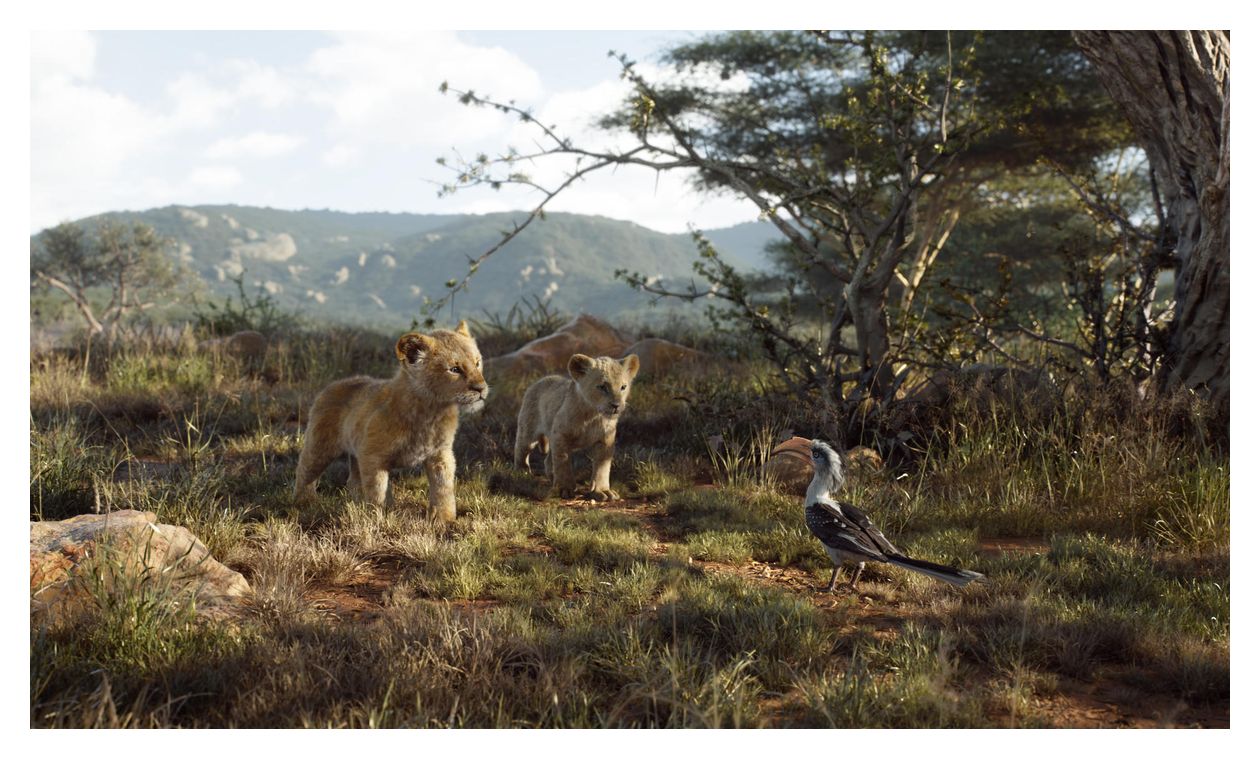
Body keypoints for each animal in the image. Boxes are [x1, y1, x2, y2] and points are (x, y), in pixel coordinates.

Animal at [293, 321, 487, 522]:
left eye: (477, 363)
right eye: (454, 369)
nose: (481, 389)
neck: (432, 412)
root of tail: (332, 385)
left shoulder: (440, 454)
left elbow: (443, 488)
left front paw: (444, 520)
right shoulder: (372, 456)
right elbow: (377, 492)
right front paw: (375, 518)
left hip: (355, 452)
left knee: (353, 481)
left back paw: (354, 504)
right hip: (320, 447)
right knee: (305, 471)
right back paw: (304, 502)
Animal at [513, 353, 639, 501]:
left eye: (623, 387)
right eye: (602, 387)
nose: (616, 405)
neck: (593, 415)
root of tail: (541, 380)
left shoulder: (606, 440)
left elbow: (602, 466)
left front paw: (602, 491)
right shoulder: (560, 434)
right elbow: (563, 462)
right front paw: (565, 489)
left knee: (547, 460)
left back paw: (552, 477)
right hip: (528, 430)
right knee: (521, 449)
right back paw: (522, 473)